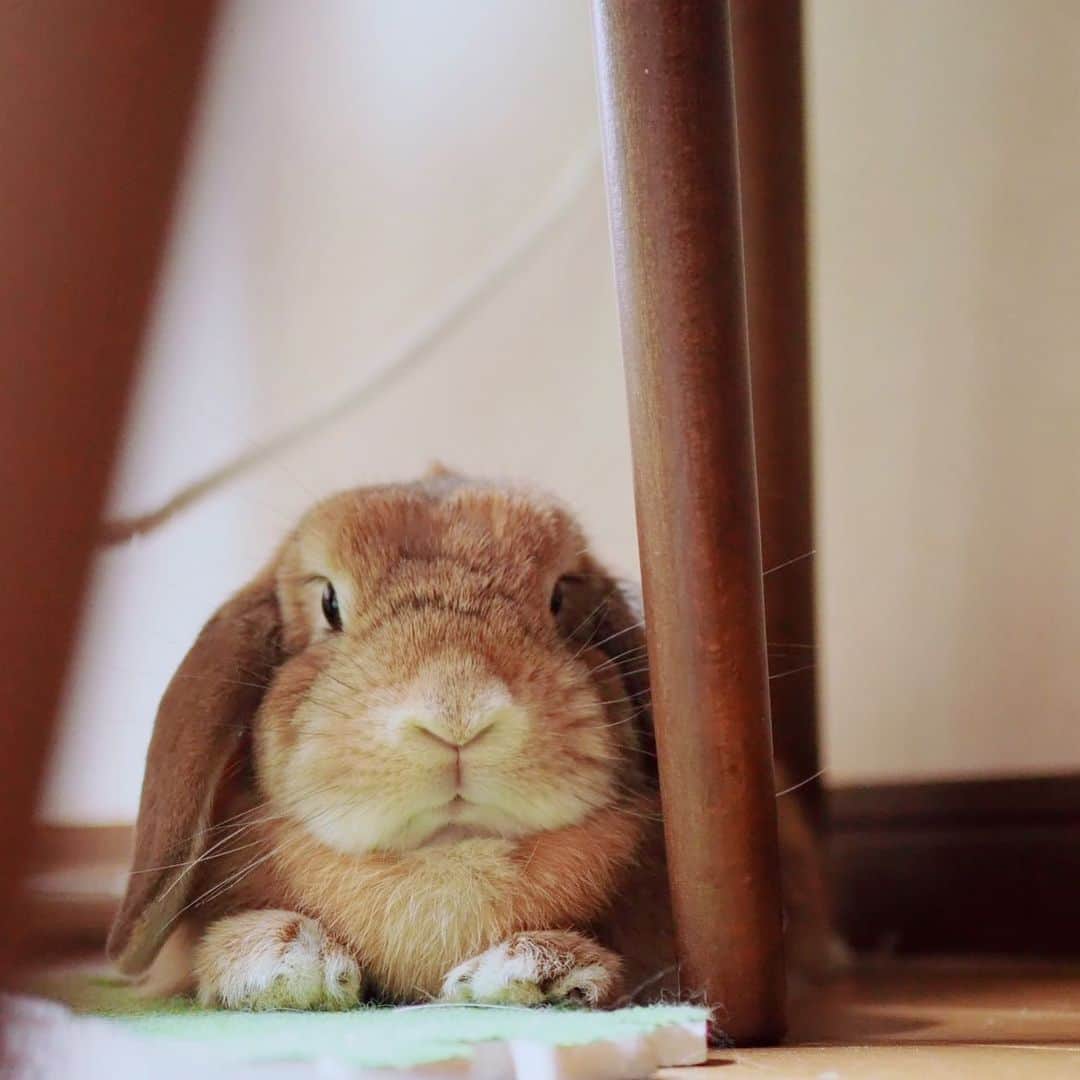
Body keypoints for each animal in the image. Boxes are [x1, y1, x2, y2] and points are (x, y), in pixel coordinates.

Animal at [107, 470, 833, 1010]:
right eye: (328, 604)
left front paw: (526, 972)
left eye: (561, 598)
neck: (447, 864)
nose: (458, 713)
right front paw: (284, 961)